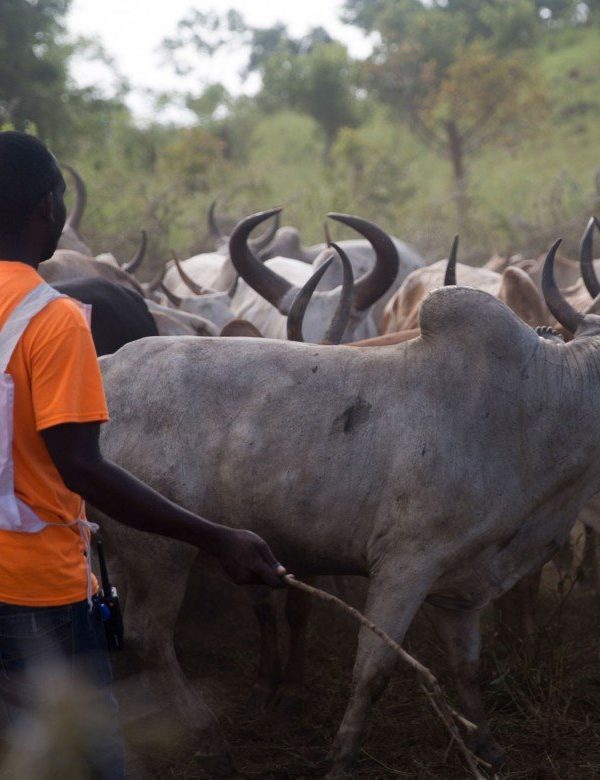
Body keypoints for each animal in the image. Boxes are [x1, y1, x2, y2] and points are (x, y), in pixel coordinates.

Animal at [89, 242, 600, 772]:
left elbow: (466, 667)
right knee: (149, 636)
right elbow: (373, 670)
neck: (542, 399)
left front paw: (486, 745)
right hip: (159, 550)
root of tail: (107, 367)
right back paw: (210, 741)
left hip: (126, 549)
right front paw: (342, 756)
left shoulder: (460, 584)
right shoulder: (405, 565)